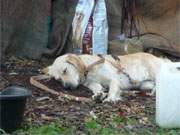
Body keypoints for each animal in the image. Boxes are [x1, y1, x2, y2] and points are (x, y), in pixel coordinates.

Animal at [42, 52, 170, 102]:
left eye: (65, 70)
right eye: (58, 80)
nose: (67, 87)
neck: (89, 69)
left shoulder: (113, 79)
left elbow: (112, 89)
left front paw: (110, 98)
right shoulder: (92, 83)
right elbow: (97, 88)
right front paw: (98, 95)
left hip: (155, 73)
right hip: (145, 85)